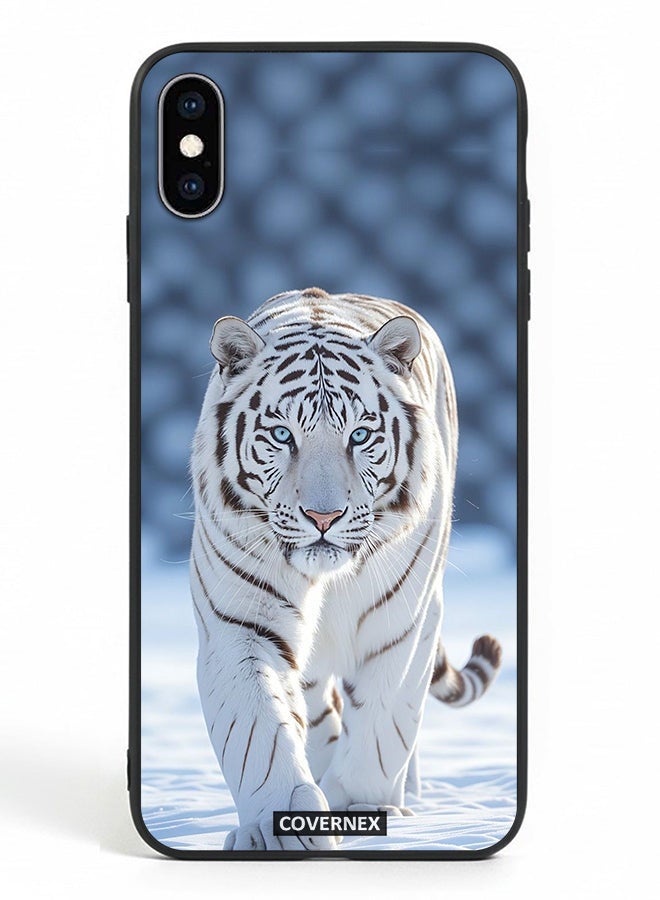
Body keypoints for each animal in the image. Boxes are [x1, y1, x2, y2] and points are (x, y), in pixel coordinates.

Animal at [190, 288, 502, 851]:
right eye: (281, 434)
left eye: (359, 435)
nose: (323, 517)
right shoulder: (241, 624)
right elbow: (258, 730)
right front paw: (281, 830)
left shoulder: (401, 623)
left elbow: (383, 722)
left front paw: (363, 805)